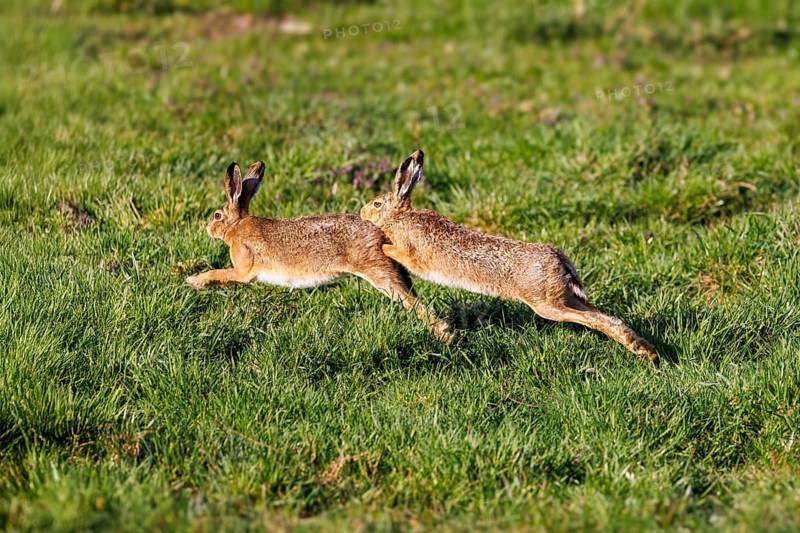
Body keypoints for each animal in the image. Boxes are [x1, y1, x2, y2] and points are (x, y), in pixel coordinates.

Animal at [186, 161, 454, 344]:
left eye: (217, 216)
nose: (208, 228)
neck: (236, 226)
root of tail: (383, 232)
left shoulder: (244, 270)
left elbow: (222, 274)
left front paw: (195, 281)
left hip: (376, 270)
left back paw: (445, 335)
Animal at [359, 150, 660, 365]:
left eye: (377, 204)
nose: (362, 212)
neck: (400, 217)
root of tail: (560, 262)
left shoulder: (410, 251)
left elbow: (394, 250)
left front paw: (383, 246)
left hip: (546, 304)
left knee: (591, 319)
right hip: (567, 297)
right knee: (609, 318)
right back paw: (646, 351)